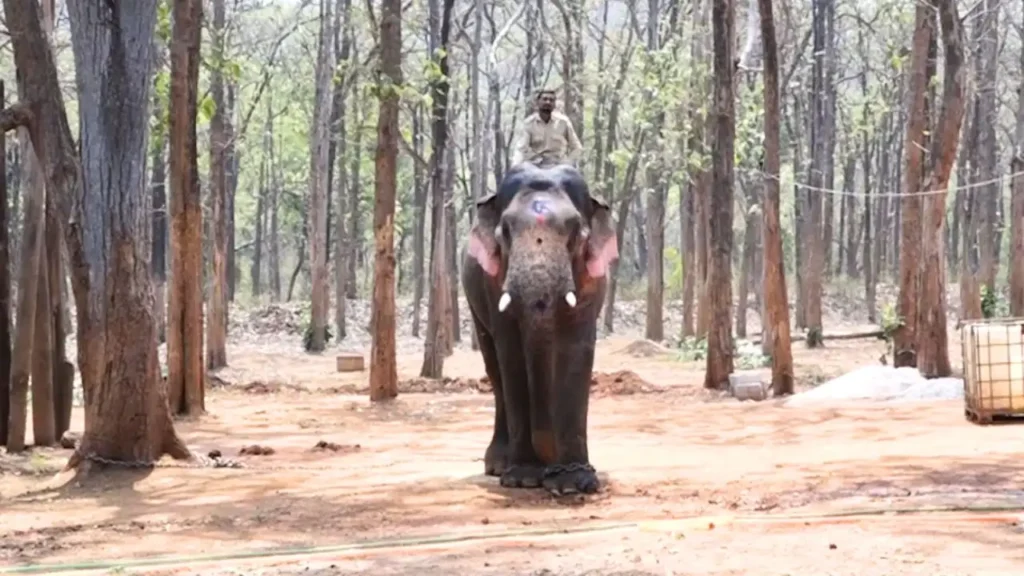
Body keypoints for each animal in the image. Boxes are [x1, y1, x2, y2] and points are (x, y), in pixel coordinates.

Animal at [461, 162, 619, 495]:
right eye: (506, 231)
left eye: (575, 231)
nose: (550, 464)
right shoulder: (493, 283)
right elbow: (512, 352)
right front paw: (524, 478)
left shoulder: (593, 283)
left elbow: (576, 350)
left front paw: (574, 482)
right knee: (494, 369)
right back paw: (499, 465)